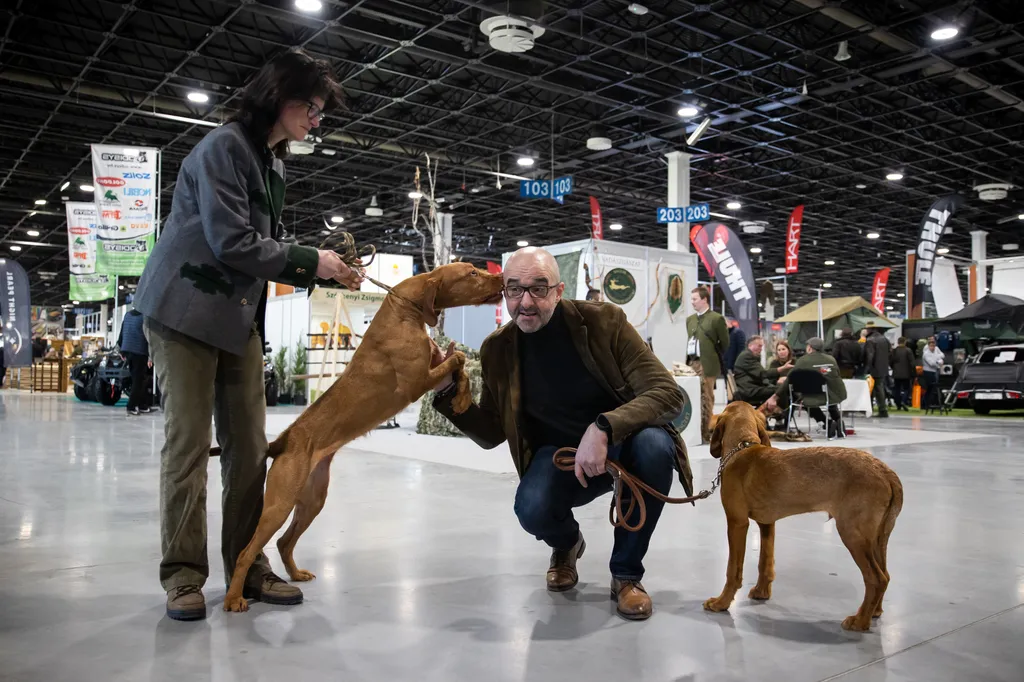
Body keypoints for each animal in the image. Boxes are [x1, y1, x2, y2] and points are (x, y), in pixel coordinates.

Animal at [222, 261, 505, 610]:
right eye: (472, 273)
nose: (502, 277)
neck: (405, 310)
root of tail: (283, 441)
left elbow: (460, 365)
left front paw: (462, 399)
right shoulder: (415, 383)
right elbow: (460, 358)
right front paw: (462, 392)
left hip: (313, 498)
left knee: (285, 541)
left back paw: (296, 574)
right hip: (280, 502)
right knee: (247, 551)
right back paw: (234, 598)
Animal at [700, 401, 901, 630]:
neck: (743, 448)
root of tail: (886, 471)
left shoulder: (737, 523)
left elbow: (733, 570)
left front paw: (721, 602)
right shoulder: (767, 523)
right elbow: (765, 563)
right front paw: (761, 592)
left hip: (853, 534)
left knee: (876, 578)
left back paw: (860, 621)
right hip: (877, 538)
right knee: (885, 574)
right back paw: (875, 611)